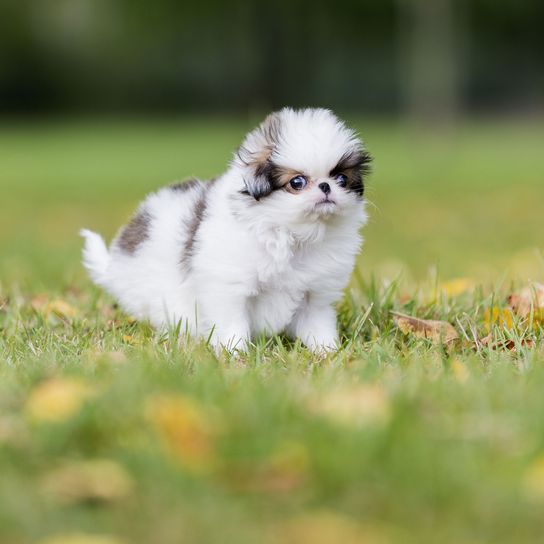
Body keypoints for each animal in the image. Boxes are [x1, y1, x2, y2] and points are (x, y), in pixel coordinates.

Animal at [79, 107, 370, 352]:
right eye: (297, 182)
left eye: (341, 178)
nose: (326, 186)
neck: (291, 234)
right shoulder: (229, 287)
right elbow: (233, 322)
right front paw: (235, 353)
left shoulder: (316, 294)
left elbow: (318, 325)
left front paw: (327, 352)